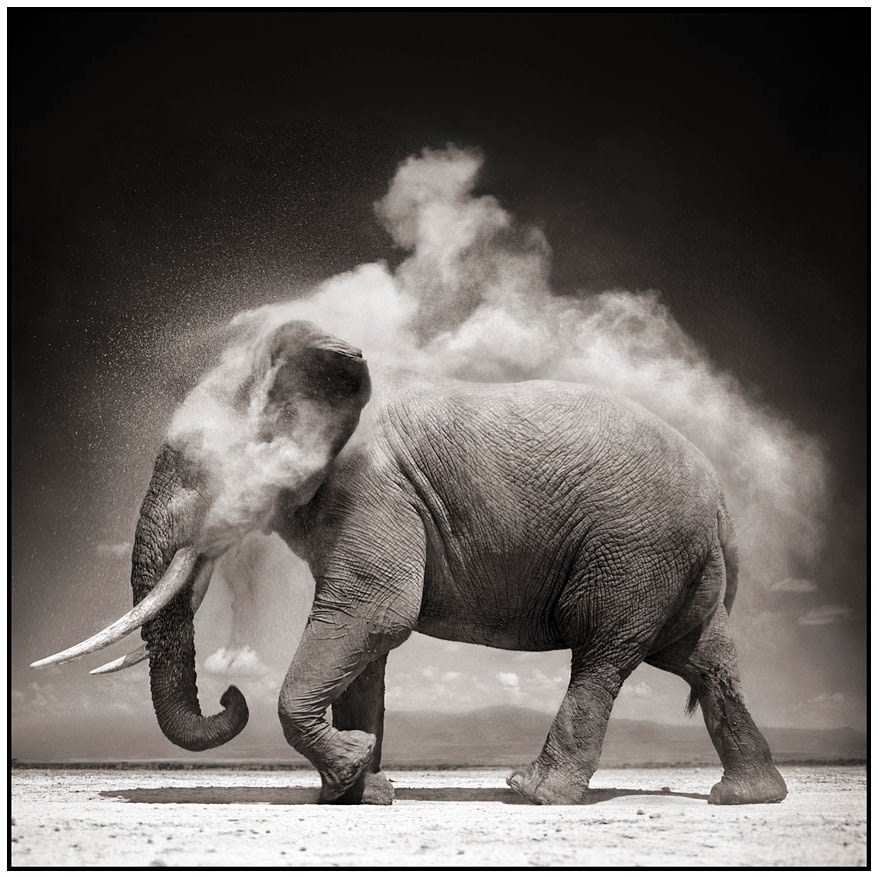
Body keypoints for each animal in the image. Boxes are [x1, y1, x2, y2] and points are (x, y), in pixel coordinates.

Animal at [33, 319, 788, 807]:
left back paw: (533, 794)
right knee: (703, 661)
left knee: (603, 655)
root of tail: (722, 500)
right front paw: (359, 791)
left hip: (635, 548)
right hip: (676, 560)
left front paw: (351, 771)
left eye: (195, 467)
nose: (229, 696)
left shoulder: (376, 490)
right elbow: (366, 646)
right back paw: (746, 798)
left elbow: (374, 614)